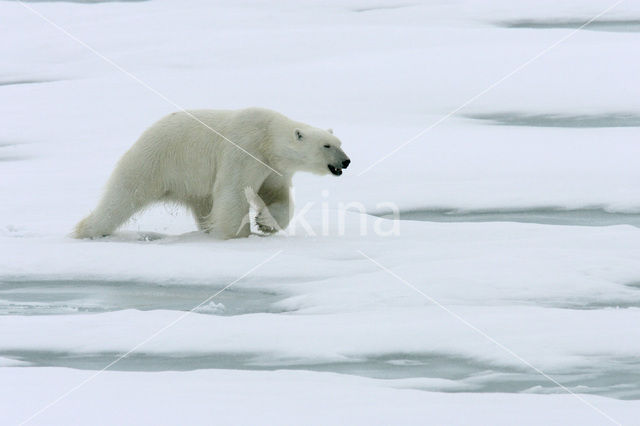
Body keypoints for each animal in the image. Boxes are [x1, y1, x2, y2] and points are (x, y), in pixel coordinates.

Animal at [74, 106, 350, 240]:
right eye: (327, 146)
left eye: (339, 142)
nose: (346, 161)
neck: (268, 139)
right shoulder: (244, 149)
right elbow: (233, 192)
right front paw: (237, 235)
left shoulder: (274, 168)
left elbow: (277, 196)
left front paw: (264, 222)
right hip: (155, 162)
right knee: (121, 198)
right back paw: (86, 231)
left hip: (191, 184)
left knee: (204, 204)